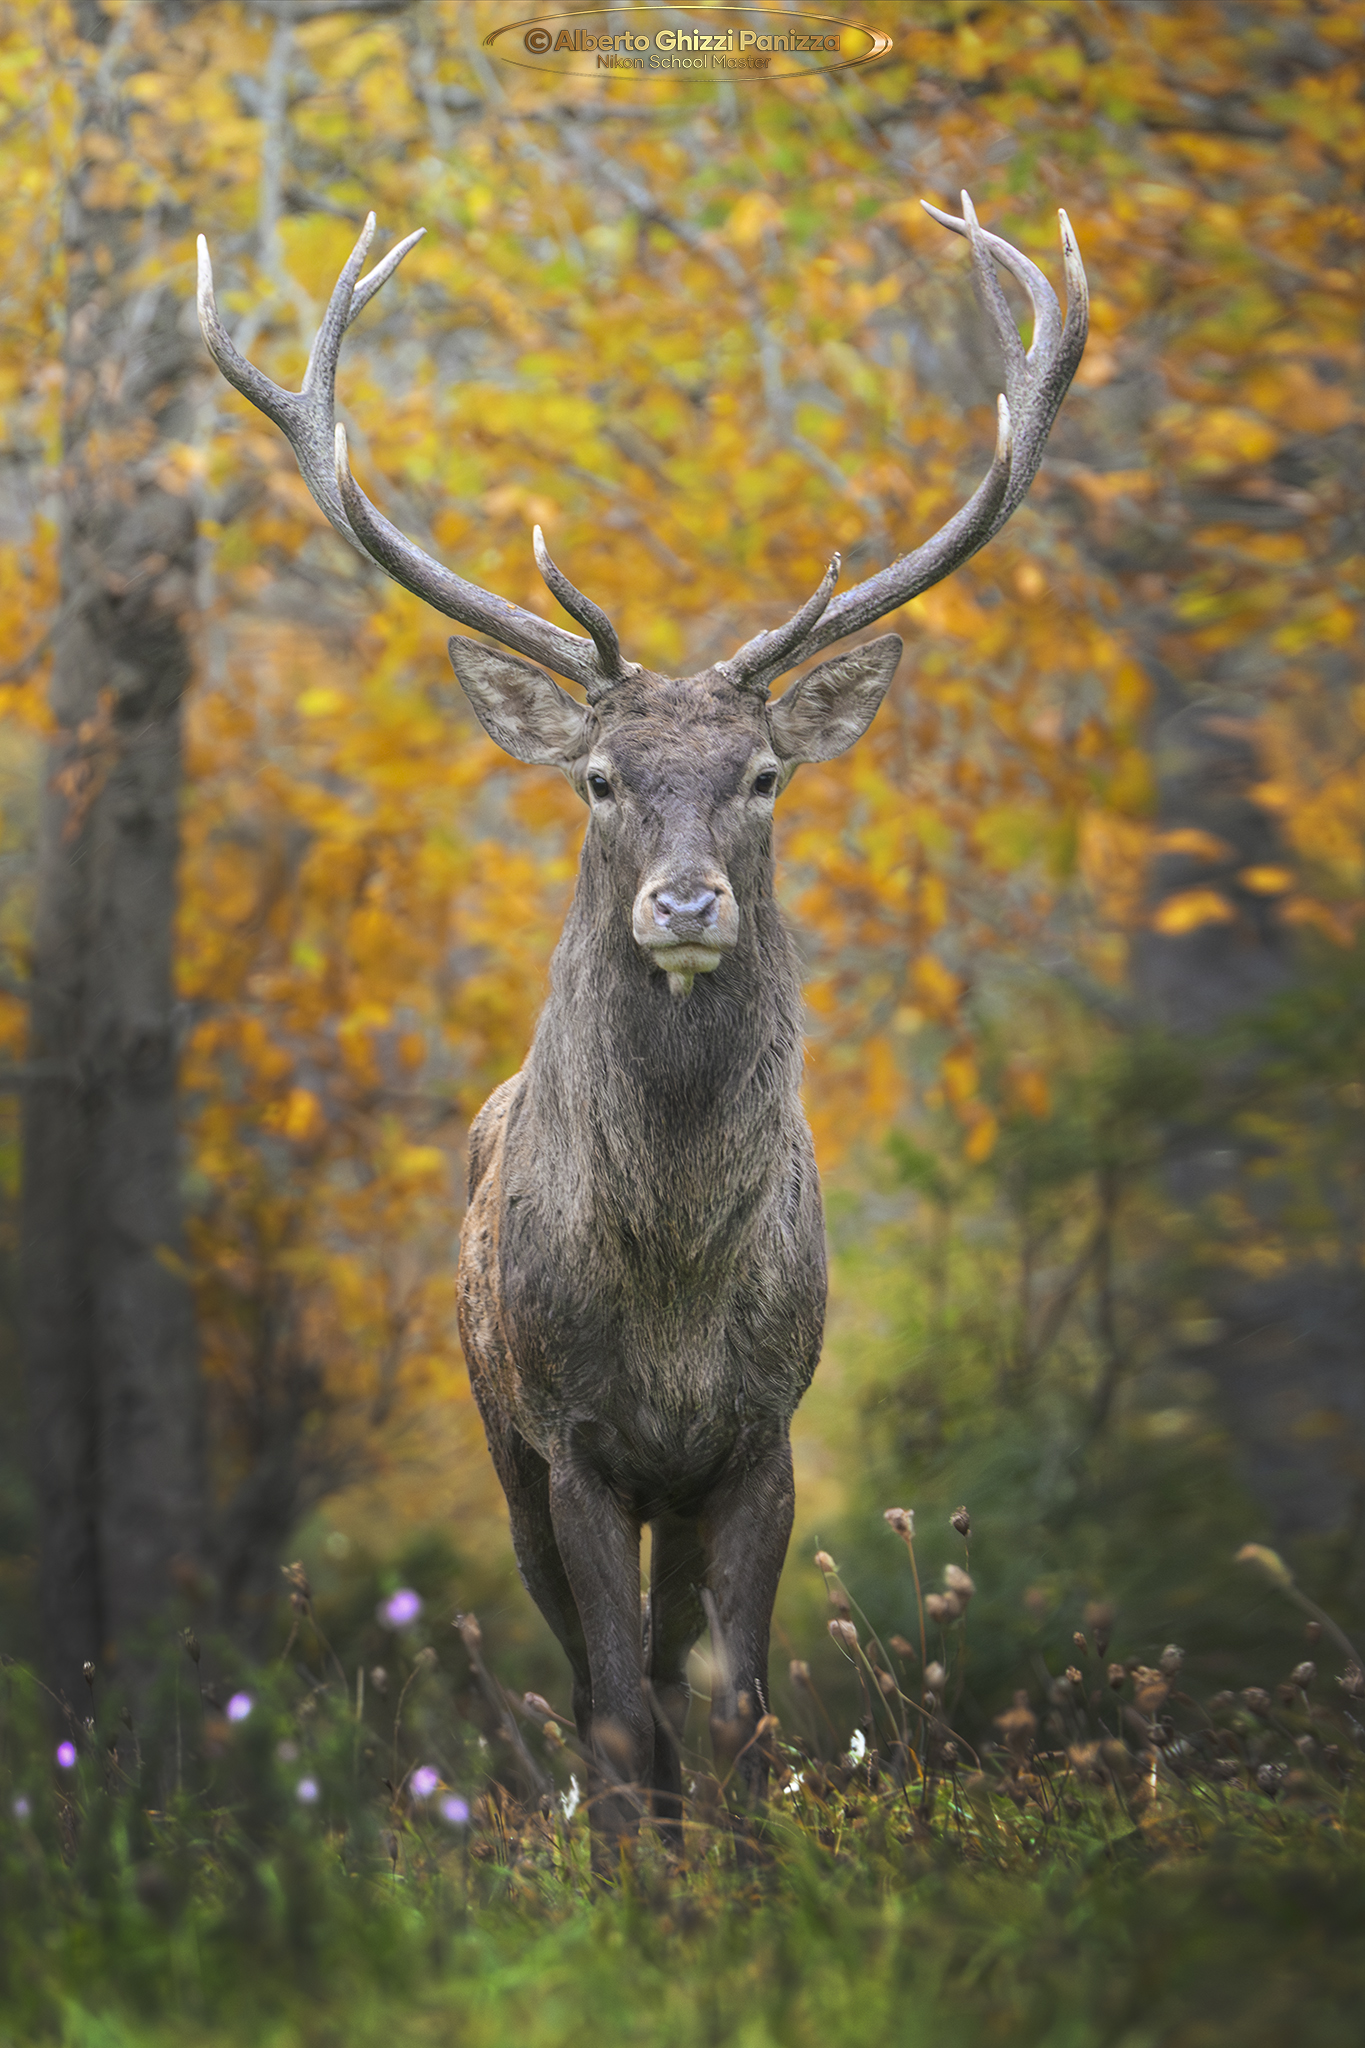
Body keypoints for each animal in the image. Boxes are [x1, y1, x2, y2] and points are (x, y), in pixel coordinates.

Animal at [198, 190, 1087, 1855]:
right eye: (600, 780)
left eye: (765, 775)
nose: (685, 904)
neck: (673, 1297)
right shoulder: (568, 1441)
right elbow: (610, 1711)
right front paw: (636, 1890)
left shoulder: (760, 1433)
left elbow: (736, 1708)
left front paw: (736, 1887)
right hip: (500, 1448)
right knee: (602, 1685)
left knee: (684, 1683)